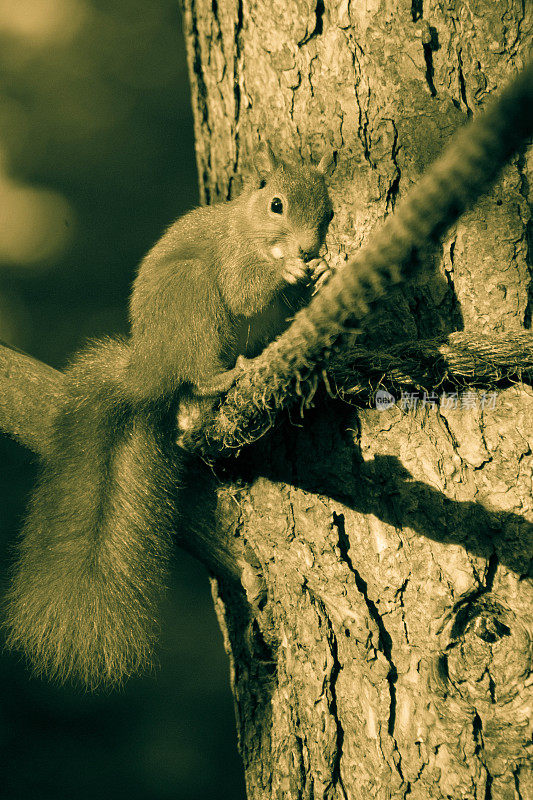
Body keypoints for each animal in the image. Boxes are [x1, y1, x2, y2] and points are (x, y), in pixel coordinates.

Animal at [4, 142, 334, 688]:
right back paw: (225, 376)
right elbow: (245, 291)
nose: (309, 250)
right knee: (196, 371)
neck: (248, 230)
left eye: (328, 212)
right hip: (192, 298)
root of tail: (150, 369)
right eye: (277, 206)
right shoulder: (231, 262)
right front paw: (287, 272)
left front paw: (322, 274)